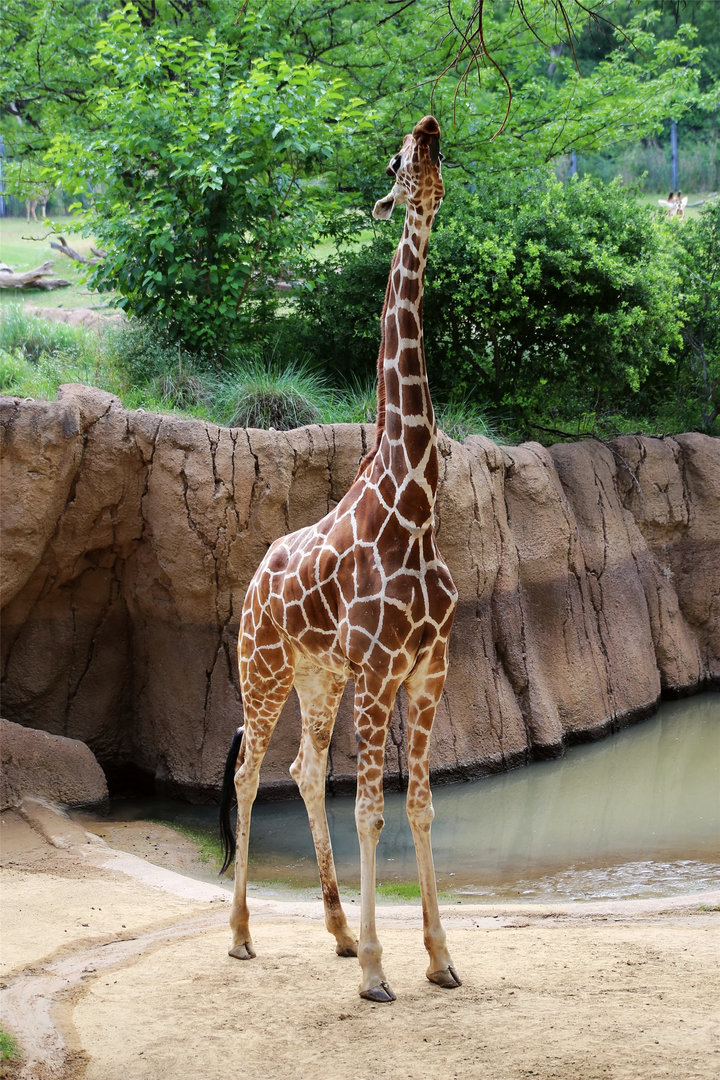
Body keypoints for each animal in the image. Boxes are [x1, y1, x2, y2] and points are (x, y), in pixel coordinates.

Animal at [219, 115, 460, 1003]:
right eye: (397, 159)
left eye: (428, 154)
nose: (427, 126)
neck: (416, 503)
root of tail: (255, 578)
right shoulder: (382, 668)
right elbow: (373, 810)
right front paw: (383, 972)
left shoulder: (429, 668)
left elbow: (419, 805)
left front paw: (438, 958)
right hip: (262, 665)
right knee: (252, 771)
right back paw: (243, 936)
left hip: (317, 676)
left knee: (302, 767)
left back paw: (336, 931)